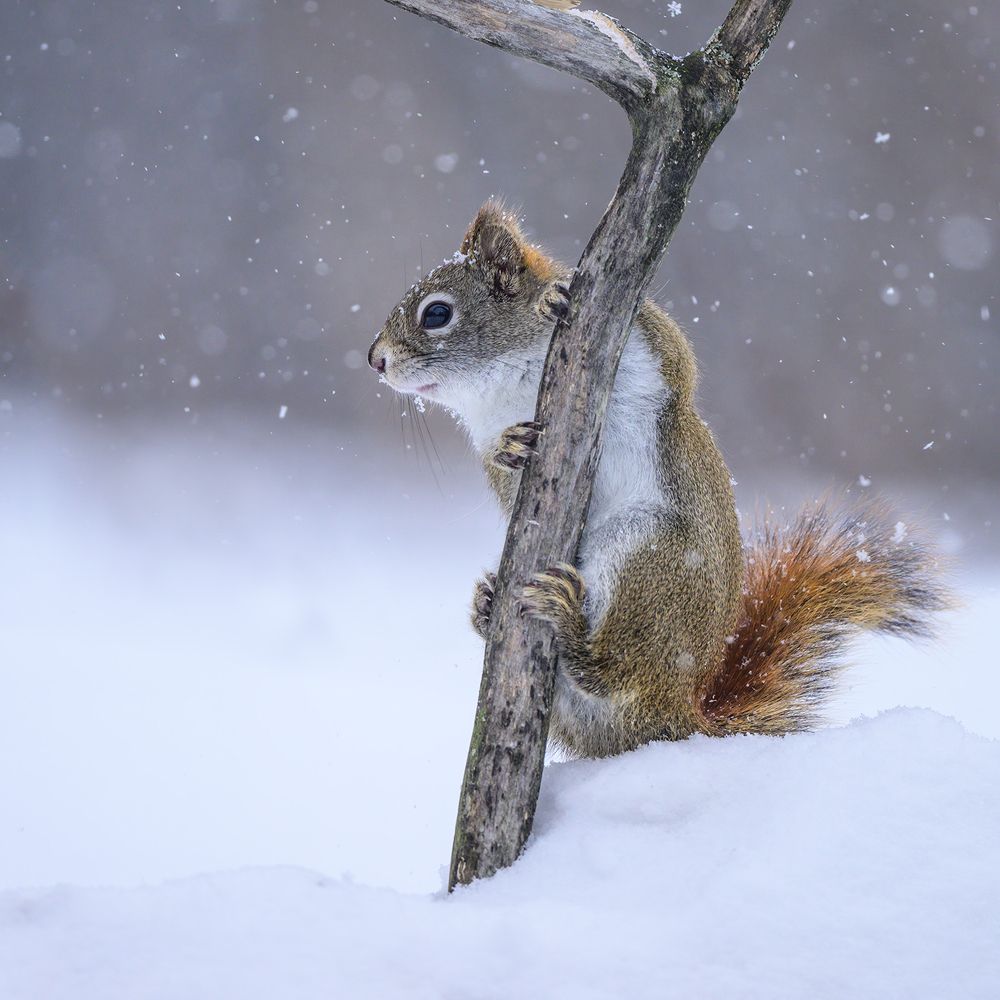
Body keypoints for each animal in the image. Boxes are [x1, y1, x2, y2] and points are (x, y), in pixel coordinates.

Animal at [368, 201, 949, 758]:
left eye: (437, 313)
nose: (375, 359)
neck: (508, 381)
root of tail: (676, 713)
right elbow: (505, 479)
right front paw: (508, 448)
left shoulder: (646, 346)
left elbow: (675, 353)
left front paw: (552, 298)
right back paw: (488, 605)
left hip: (648, 554)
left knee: (615, 671)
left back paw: (572, 627)